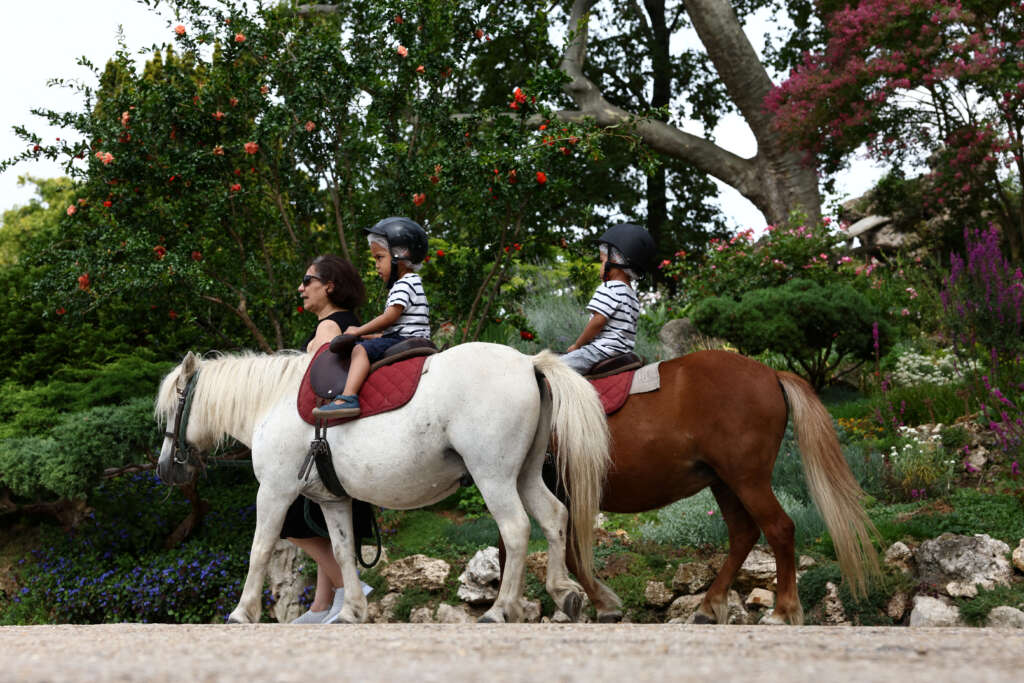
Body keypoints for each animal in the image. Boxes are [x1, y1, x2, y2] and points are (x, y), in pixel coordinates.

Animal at [155, 343, 610, 624]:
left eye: (175, 406)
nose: (165, 469)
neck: (274, 402)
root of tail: (528, 363)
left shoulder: (275, 492)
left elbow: (260, 549)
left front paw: (242, 611)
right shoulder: (331, 500)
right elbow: (342, 553)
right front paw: (353, 610)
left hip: (493, 476)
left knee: (515, 530)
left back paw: (500, 609)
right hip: (525, 473)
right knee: (554, 517)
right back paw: (563, 592)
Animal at [513, 349, 880, 625]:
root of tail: (770, 374)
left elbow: (560, 553)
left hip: (747, 479)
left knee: (779, 528)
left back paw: (782, 611)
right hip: (725, 482)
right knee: (744, 533)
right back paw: (708, 606)